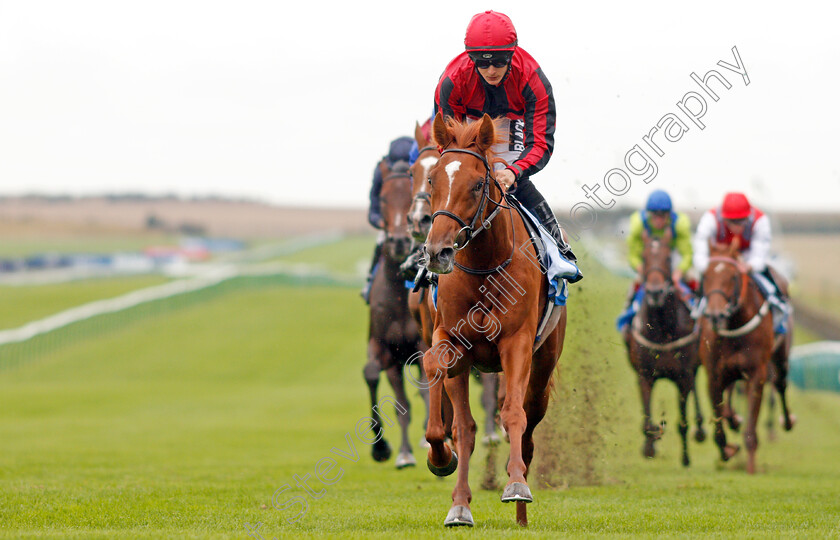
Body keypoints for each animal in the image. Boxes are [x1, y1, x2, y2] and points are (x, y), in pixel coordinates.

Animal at [420, 110, 564, 528]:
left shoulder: (516, 343)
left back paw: (520, 504)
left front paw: (516, 484)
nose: (437, 251)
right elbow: (455, 422)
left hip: (543, 365)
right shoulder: (452, 340)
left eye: (478, 183)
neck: (484, 267)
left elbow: (513, 414)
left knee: (528, 423)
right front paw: (446, 472)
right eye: (432, 180)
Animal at [620, 230, 704, 466]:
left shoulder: (683, 376)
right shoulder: (645, 375)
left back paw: (701, 428)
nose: (655, 292)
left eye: (668, 258)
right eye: (644, 256)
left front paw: (685, 458)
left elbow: (682, 421)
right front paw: (650, 444)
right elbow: (647, 419)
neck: (663, 329)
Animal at [700, 243, 796, 474]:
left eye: (733, 276)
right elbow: (718, 426)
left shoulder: (756, 374)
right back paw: (734, 419)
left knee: (780, 384)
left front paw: (751, 467)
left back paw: (788, 420)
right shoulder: (713, 375)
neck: (734, 324)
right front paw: (728, 449)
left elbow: (751, 427)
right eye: (704, 276)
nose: (715, 315)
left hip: (780, 357)